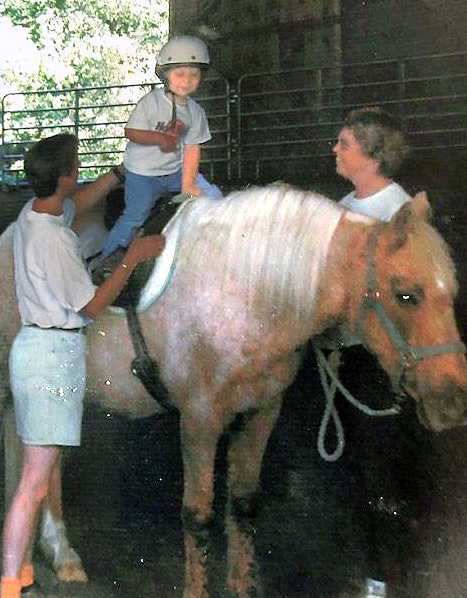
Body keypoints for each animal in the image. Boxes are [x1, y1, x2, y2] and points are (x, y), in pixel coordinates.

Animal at [0, 184, 467, 598]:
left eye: (451, 294)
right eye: (406, 295)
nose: (452, 402)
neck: (245, 291)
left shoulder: (261, 413)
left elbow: (242, 507)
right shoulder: (199, 420)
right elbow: (197, 515)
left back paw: (58, 555)